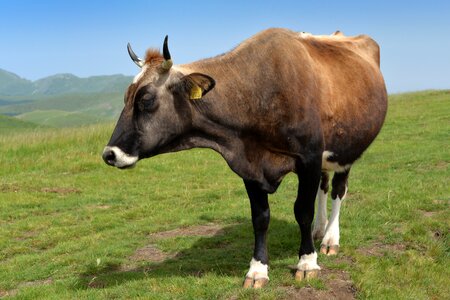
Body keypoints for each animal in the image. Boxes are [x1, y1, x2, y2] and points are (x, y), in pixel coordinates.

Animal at [102, 28, 386, 288]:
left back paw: (330, 239)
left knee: (338, 189)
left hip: (348, 149)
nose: (109, 154)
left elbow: (302, 211)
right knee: (324, 187)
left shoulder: (309, 158)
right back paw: (320, 229)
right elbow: (260, 218)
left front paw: (307, 262)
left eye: (146, 99)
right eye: (126, 97)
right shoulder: (250, 166)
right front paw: (258, 270)